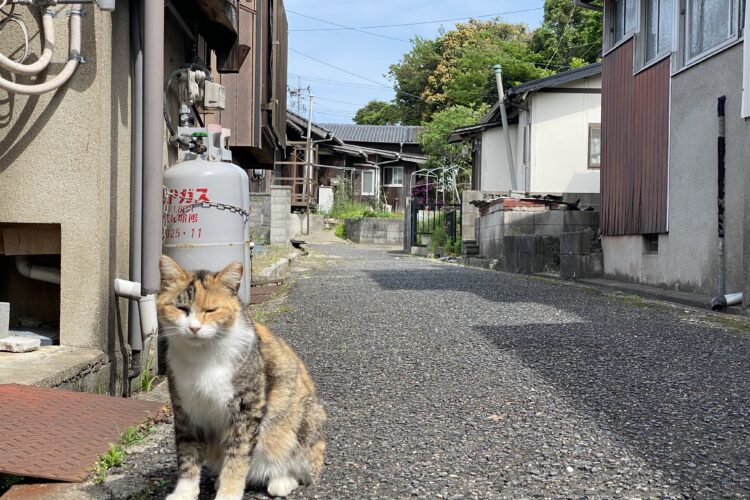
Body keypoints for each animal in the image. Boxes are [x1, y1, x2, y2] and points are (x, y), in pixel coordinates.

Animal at [159, 256, 326, 498]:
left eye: (211, 310)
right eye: (181, 308)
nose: (193, 328)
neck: (203, 358)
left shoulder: (246, 408)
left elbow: (237, 457)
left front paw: (228, 494)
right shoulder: (185, 410)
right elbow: (187, 454)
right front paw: (184, 492)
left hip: (307, 420)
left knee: (300, 467)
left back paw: (281, 481)